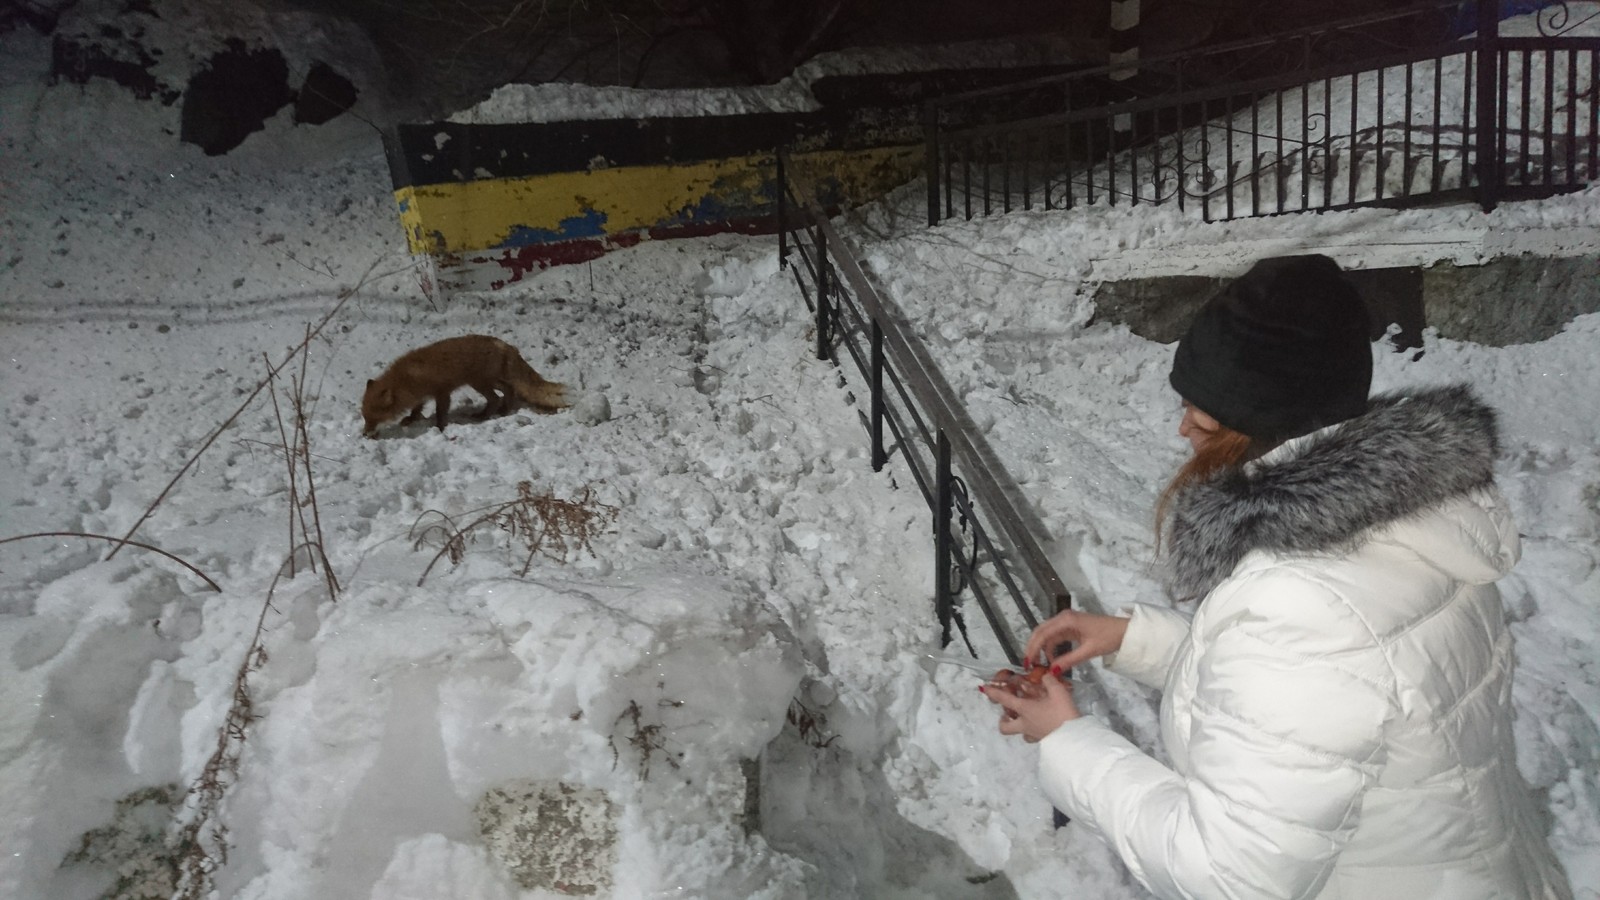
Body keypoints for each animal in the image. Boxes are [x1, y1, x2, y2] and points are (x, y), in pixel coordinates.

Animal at [363, 334, 569, 435]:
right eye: (365, 417)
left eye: (372, 419)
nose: (365, 433)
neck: (406, 378)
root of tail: (504, 345)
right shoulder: (422, 395)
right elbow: (416, 409)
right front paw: (411, 419)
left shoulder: (442, 392)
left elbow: (440, 413)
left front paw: (440, 429)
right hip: (487, 381)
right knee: (507, 390)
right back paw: (503, 410)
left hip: (479, 382)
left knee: (496, 398)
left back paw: (486, 415)